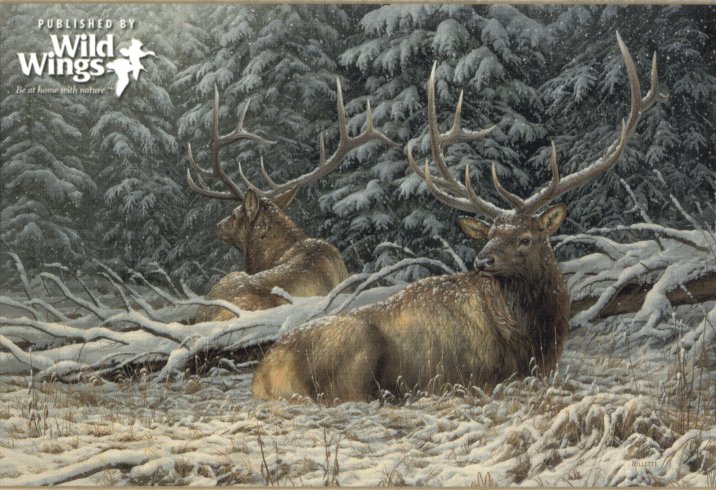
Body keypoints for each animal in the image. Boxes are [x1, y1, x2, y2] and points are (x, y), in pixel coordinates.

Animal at [252, 34, 667, 402]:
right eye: (489, 235)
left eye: (525, 238)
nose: (483, 260)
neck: (535, 336)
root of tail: (262, 375)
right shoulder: (475, 375)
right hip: (356, 353)